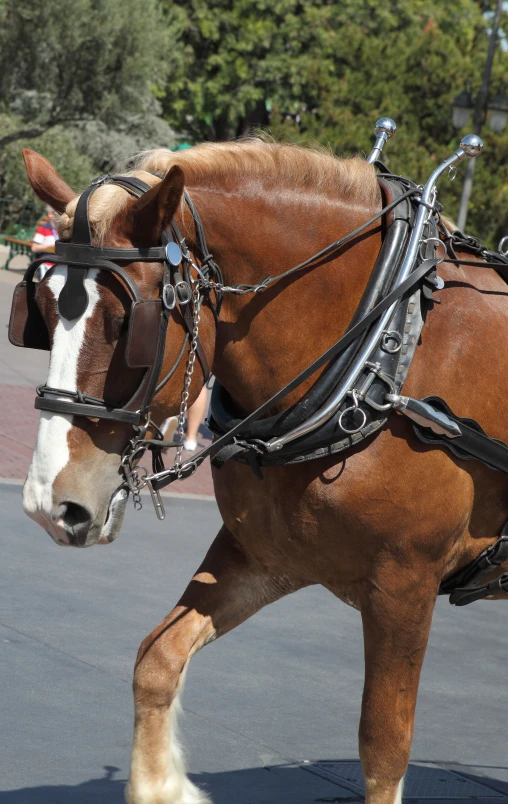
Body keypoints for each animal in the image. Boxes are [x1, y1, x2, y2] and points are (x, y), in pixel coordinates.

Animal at [17, 141, 508, 804]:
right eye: (40, 313)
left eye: (126, 324)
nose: (50, 503)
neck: (384, 353)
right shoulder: (268, 554)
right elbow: (157, 658)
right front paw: (163, 786)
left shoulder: (406, 581)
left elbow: (384, 747)